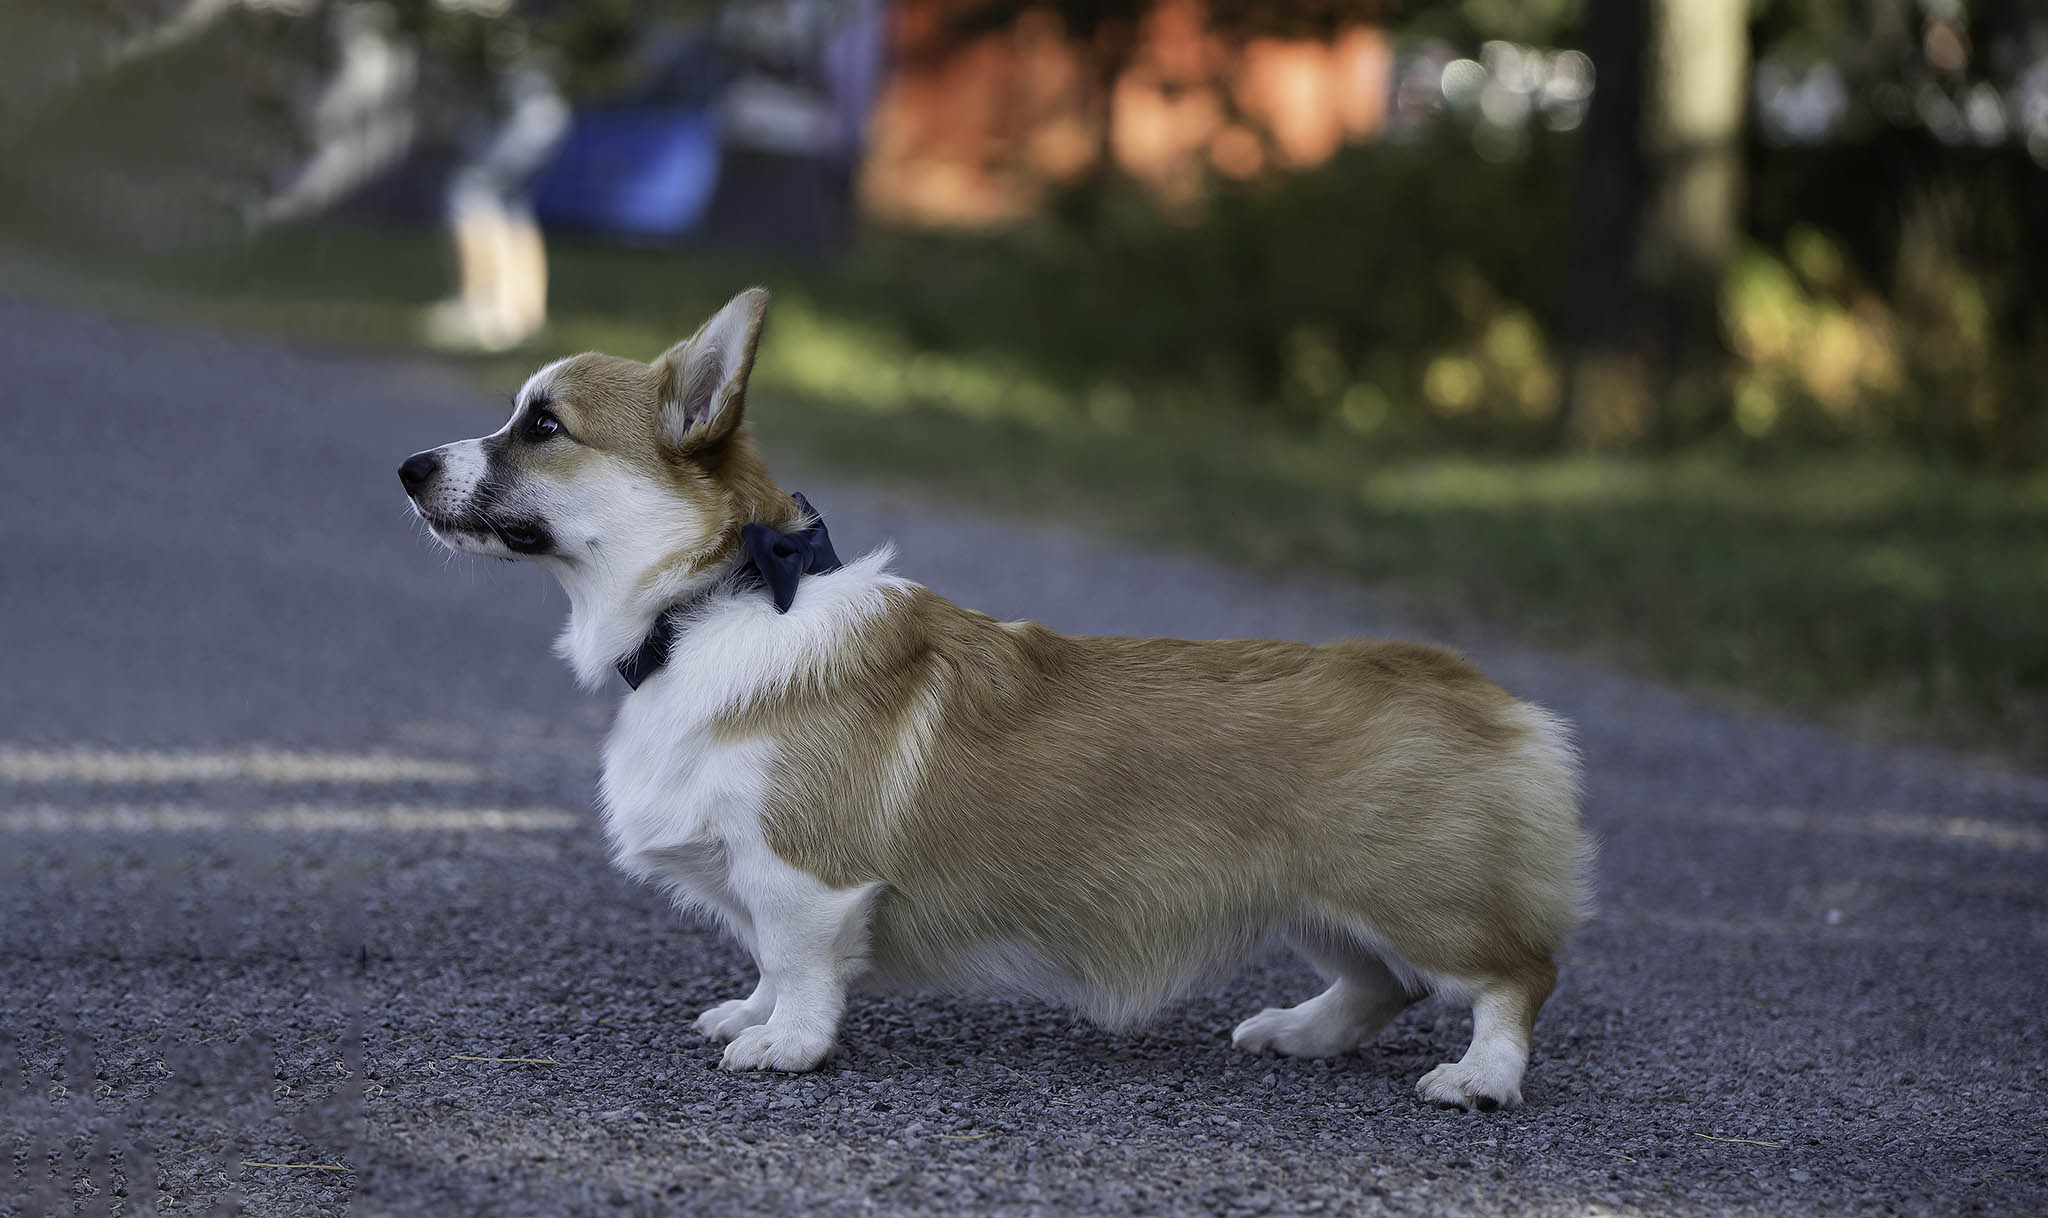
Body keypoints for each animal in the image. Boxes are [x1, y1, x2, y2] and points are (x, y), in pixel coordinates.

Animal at [399, 287, 1593, 1110]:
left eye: (544, 426)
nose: (408, 469)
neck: (709, 603)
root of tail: (1480, 690)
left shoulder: (804, 876)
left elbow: (799, 964)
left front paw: (783, 1046)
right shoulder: (759, 879)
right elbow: (764, 962)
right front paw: (746, 1014)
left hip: (1416, 895)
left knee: (1512, 976)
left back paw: (1480, 1078)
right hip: (1318, 901)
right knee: (1383, 988)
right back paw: (1295, 1033)